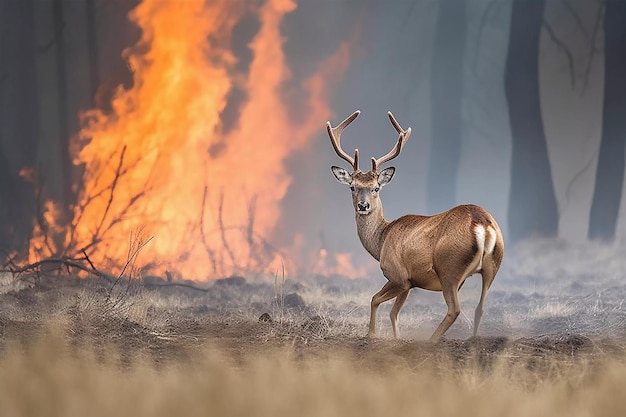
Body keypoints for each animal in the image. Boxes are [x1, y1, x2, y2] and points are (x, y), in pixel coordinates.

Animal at [326, 110, 502, 342]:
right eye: (352, 187)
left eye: (376, 188)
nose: (363, 206)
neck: (381, 240)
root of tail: (482, 224)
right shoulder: (410, 282)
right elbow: (393, 312)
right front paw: (396, 338)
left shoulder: (398, 275)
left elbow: (374, 299)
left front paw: (371, 334)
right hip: (493, 264)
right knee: (480, 308)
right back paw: (472, 340)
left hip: (449, 267)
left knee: (454, 309)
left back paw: (431, 340)